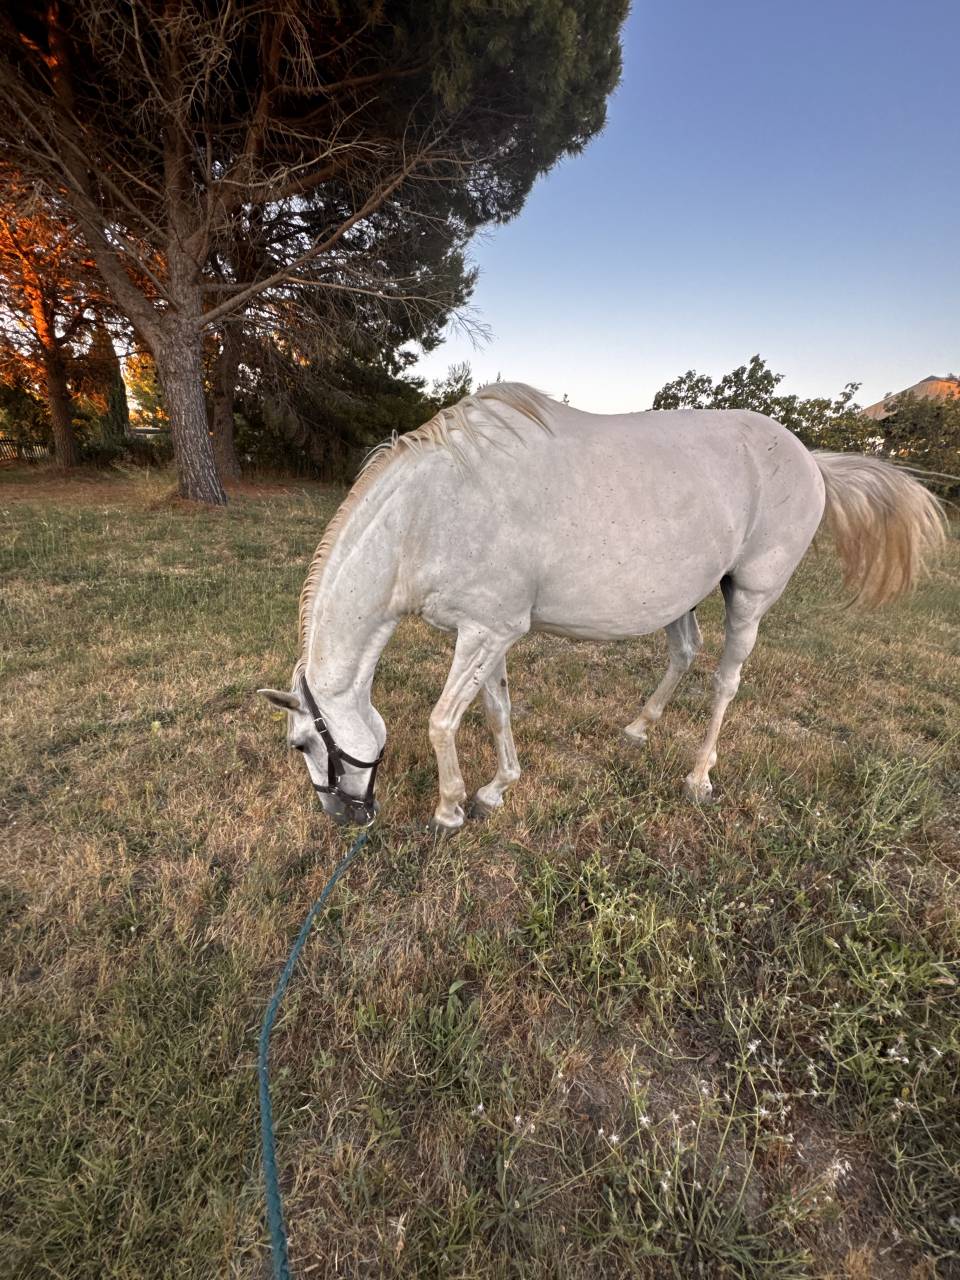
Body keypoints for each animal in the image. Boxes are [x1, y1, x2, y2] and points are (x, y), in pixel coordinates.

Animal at [259, 384, 946, 830]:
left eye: (301, 744)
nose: (341, 816)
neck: (427, 515)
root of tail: (809, 457)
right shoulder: (490, 634)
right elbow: (496, 710)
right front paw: (497, 789)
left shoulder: (485, 633)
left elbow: (442, 722)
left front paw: (450, 809)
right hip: (680, 595)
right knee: (684, 653)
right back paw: (639, 729)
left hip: (750, 596)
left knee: (726, 680)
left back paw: (699, 777)